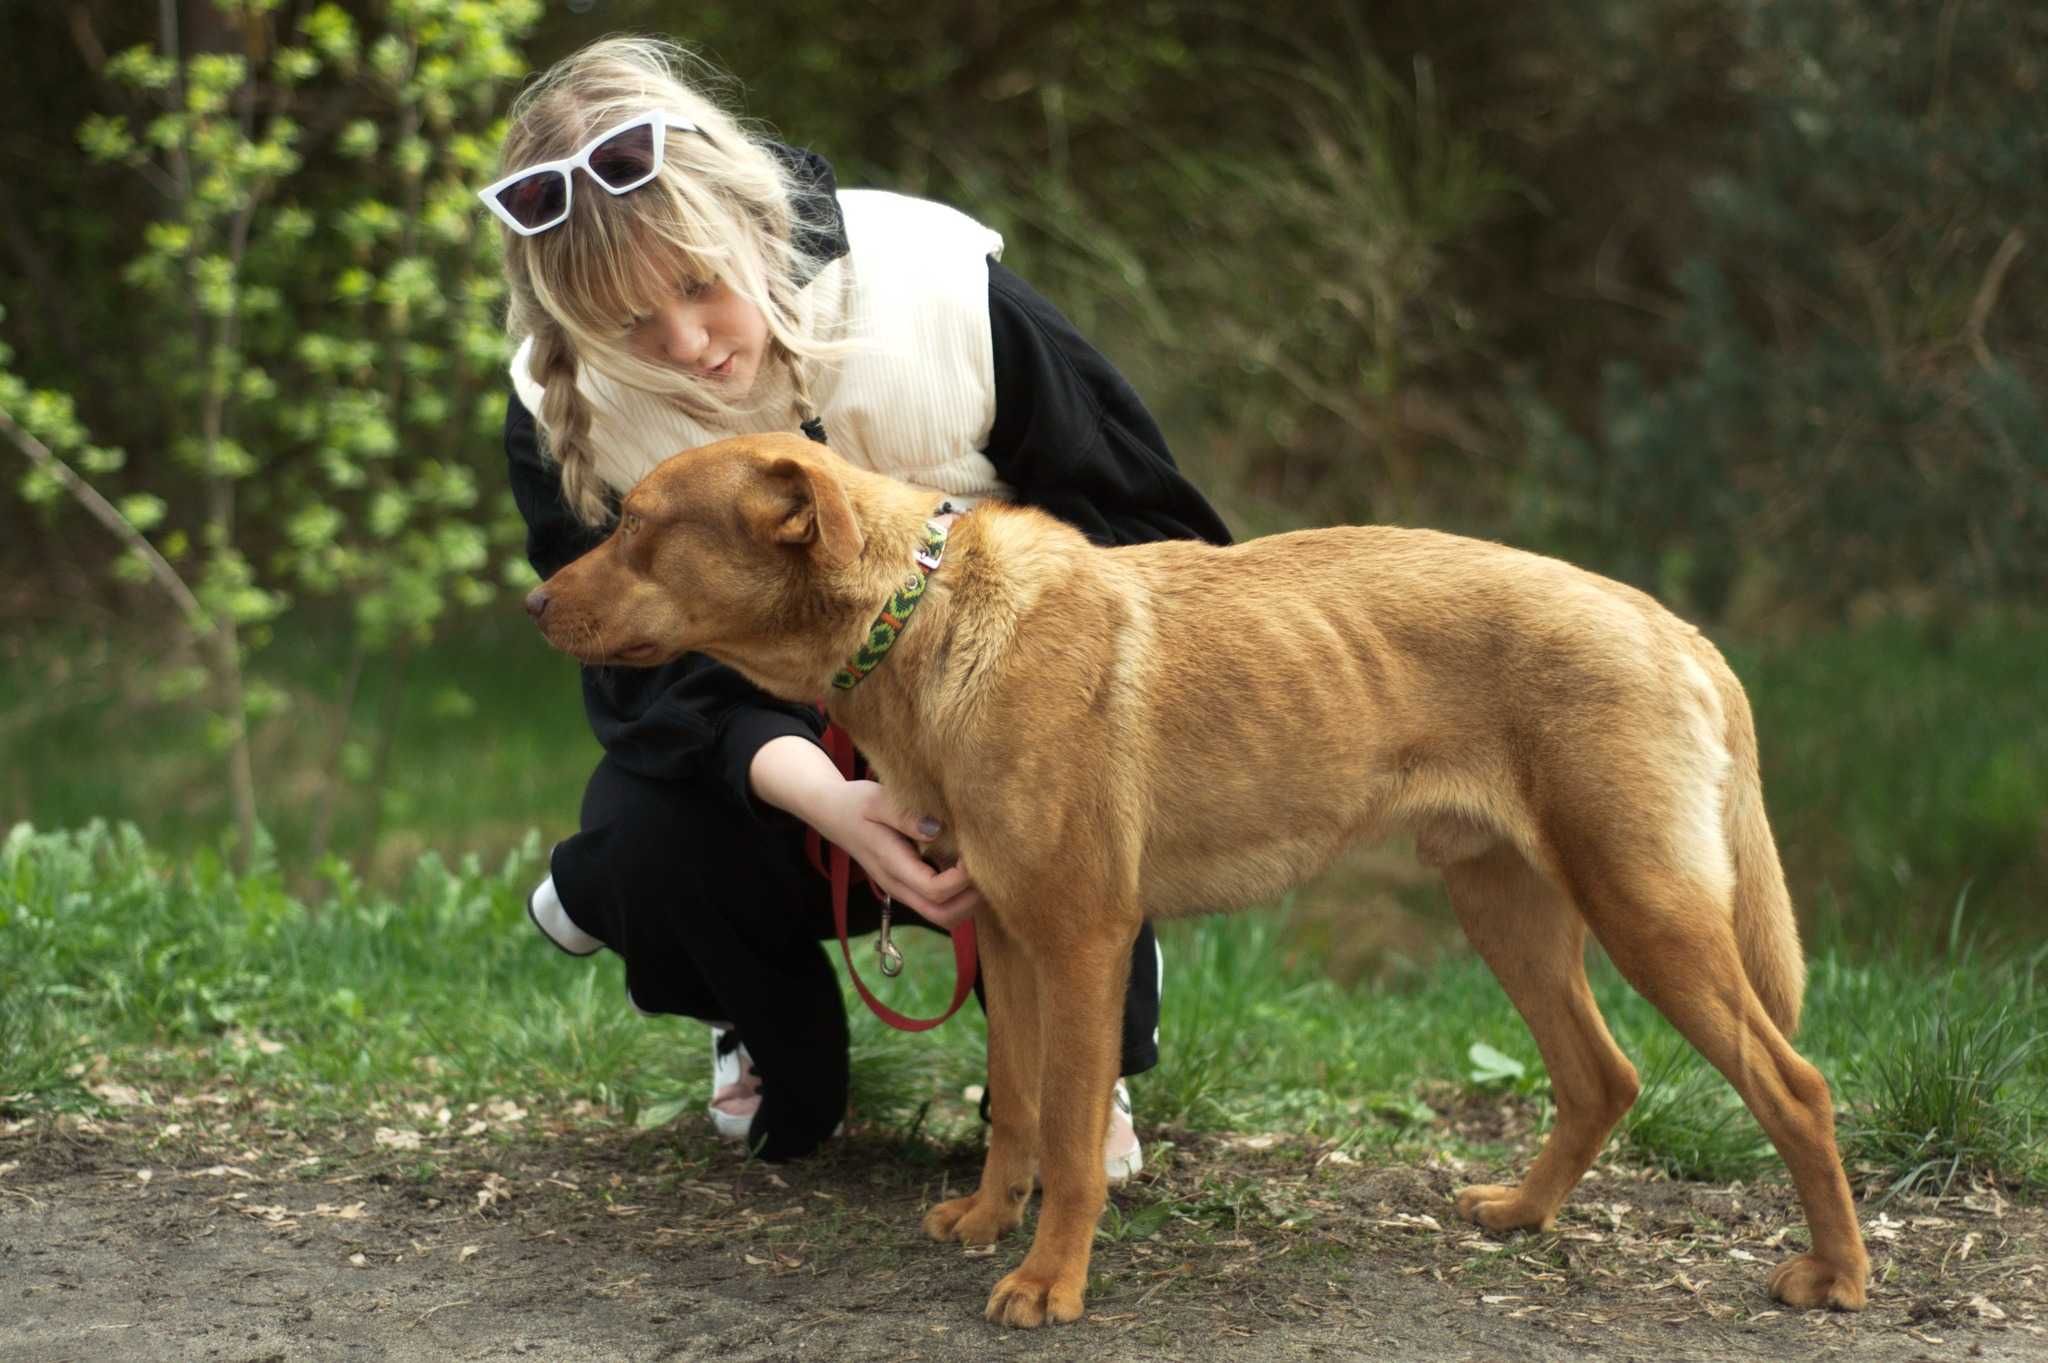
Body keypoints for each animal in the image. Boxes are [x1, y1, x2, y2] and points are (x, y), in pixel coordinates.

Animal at [524, 429, 1875, 1317]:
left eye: (638, 525)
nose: (534, 604)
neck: (926, 626)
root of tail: (1669, 625)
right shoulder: (1001, 932)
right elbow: (1015, 1112)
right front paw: (987, 1221)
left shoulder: (1080, 939)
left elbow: (1071, 1142)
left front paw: (1046, 1281)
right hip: (1508, 904)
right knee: (1603, 1075)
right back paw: (1523, 1213)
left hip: (1647, 912)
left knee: (1794, 1086)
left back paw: (1835, 1274)